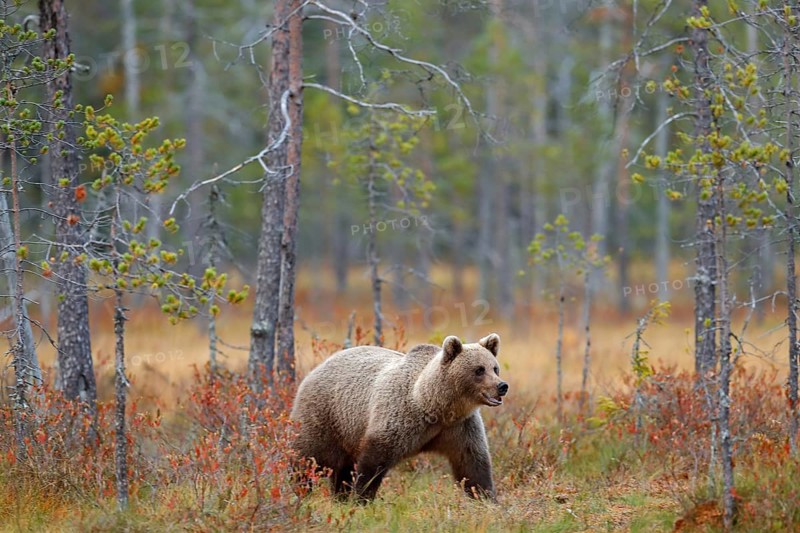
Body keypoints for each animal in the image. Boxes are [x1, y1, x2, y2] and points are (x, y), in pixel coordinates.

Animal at [290, 333, 508, 501]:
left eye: (495, 368)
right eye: (479, 370)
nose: (502, 386)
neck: (435, 407)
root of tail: (316, 368)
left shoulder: (460, 427)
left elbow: (472, 464)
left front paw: (486, 499)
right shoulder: (399, 417)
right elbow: (373, 462)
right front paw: (362, 498)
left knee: (342, 469)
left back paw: (339, 497)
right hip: (325, 417)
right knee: (307, 457)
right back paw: (300, 489)